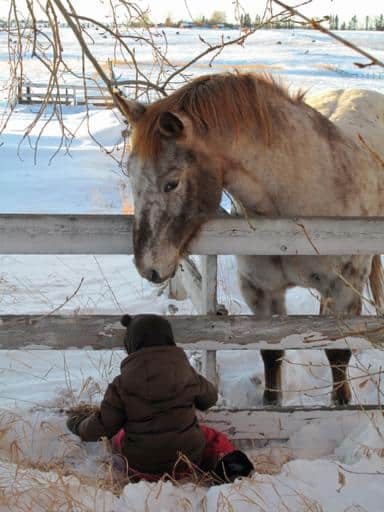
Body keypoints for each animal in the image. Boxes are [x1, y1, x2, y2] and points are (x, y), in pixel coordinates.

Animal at [113, 72, 384, 406]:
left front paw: (341, 403)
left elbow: (337, 354)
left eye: (171, 183)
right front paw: (271, 403)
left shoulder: (344, 290)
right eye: (131, 175)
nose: (148, 267)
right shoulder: (262, 292)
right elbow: (271, 352)